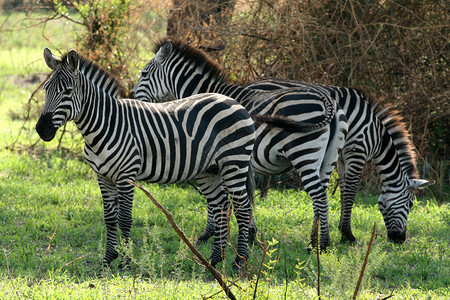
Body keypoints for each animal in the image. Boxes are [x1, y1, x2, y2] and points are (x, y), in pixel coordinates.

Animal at [36, 47, 264, 270]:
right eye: (46, 89)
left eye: (67, 91)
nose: (41, 129)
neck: (105, 123)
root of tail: (232, 101)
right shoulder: (103, 176)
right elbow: (109, 218)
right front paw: (108, 259)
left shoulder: (126, 175)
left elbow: (124, 219)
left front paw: (126, 262)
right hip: (210, 170)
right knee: (221, 207)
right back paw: (215, 260)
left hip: (234, 162)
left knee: (243, 208)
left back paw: (239, 262)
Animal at [130, 39, 348, 251]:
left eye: (144, 73)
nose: (131, 96)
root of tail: (328, 100)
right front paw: (250, 235)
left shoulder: (218, 157)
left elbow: (217, 202)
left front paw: (208, 235)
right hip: (327, 158)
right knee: (322, 197)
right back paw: (315, 242)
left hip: (303, 153)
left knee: (319, 197)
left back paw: (321, 245)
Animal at [244, 78, 434, 244]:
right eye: (410, 204)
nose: (399, 240)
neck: (376, 135)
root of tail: (252, 83)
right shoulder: (356, 151)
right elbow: (350, 193)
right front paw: (348, 235)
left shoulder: (342, 157)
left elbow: (343, 192)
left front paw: (340, 232)